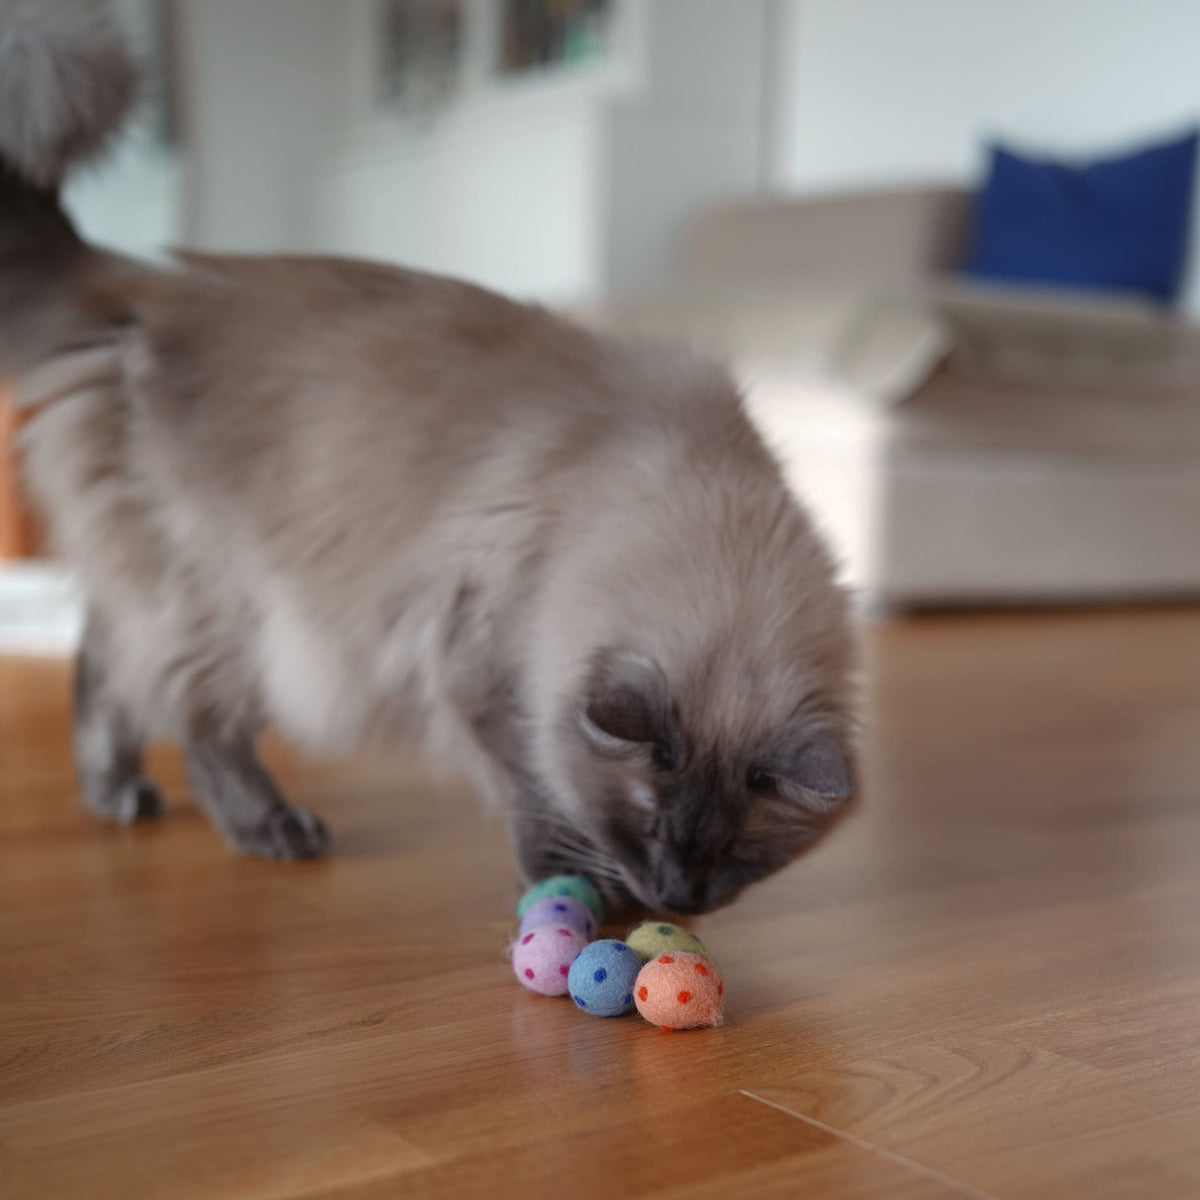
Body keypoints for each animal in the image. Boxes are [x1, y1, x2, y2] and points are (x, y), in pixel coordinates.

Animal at [4, 0, 859, 907]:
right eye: (648, 827)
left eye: (737, 853)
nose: (673, 899)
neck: (694, 503)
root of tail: (143, 281)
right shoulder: (488, 671)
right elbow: (537, 793)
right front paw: (567, 884)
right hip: (229, 608)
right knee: (190, 718)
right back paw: (266, 828)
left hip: (180, 592)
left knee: (104, 661)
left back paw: (115, 793)